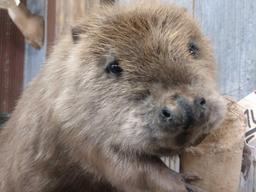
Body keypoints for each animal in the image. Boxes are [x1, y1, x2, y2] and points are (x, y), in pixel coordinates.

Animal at [0, 3, 224, 192]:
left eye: (192, 48)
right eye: (114, 66)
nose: (186, 106)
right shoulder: (71, 122)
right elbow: (127, 168)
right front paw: (184, 183)